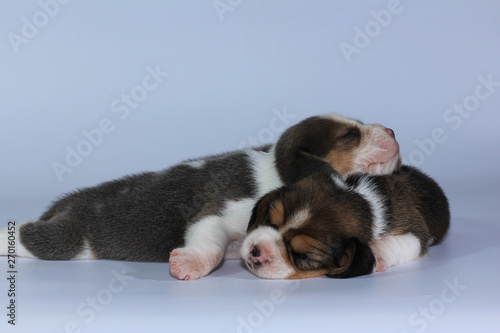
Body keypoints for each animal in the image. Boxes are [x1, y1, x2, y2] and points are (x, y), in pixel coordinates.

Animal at [240, 165, 452, 278]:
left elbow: (405, 242)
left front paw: (377, 253)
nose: (256, 251)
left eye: (304, 256)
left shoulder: (415, 231)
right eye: (269, 219)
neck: (362, 200)